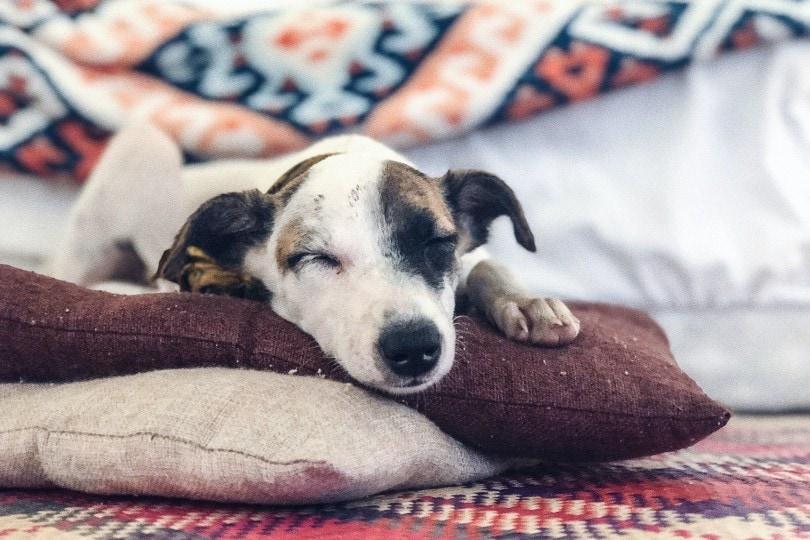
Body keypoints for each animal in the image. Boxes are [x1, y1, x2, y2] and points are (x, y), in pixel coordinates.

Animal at [49, 124, 576, 394]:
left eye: (438, 244)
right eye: (315, 258)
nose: (413, 348)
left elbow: (486, 263)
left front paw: (527, 302)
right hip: (145, 146)